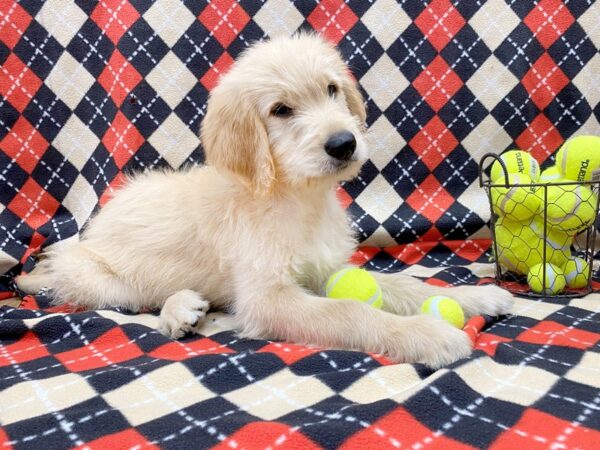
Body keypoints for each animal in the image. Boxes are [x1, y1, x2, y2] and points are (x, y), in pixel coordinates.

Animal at [17, 34, 510, 366]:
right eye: (281, 110)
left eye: (332, 89)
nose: (344, 143)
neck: (298, 200)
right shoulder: (268, 299)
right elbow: (350, 311)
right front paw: (427, 334)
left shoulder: (326, 269)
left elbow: (405, 284)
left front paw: (475, 297)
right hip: (109, 282)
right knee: (139, 301)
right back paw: (176, 310)